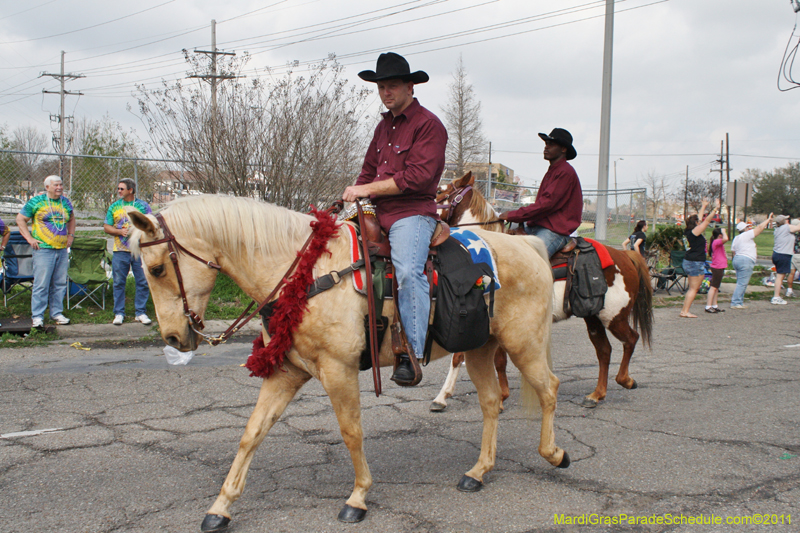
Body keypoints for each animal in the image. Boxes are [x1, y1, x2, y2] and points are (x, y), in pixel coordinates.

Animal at [434, 172, 652, 410]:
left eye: (439, 191)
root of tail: (625, 256)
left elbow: (472, 357)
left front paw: (494, 397)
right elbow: (489, 360)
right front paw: (445, 397)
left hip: (614, 316)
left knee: (630, 339)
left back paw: (625, 380)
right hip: (593, 317)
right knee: (604, 351)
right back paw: (596, 395)